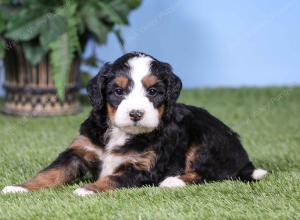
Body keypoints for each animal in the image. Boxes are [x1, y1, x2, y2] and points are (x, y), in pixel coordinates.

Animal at [1, 52, 268, 196]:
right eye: (118, 91)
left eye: (153, 91)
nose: (136, 113)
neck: (121, 132)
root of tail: (243, 157)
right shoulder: (79, 151)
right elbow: (50, 172)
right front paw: (20, 188)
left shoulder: (144, 167)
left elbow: (114, 178)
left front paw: (88, 189)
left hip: (206, 139)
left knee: (212, 173)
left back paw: (173, 181)